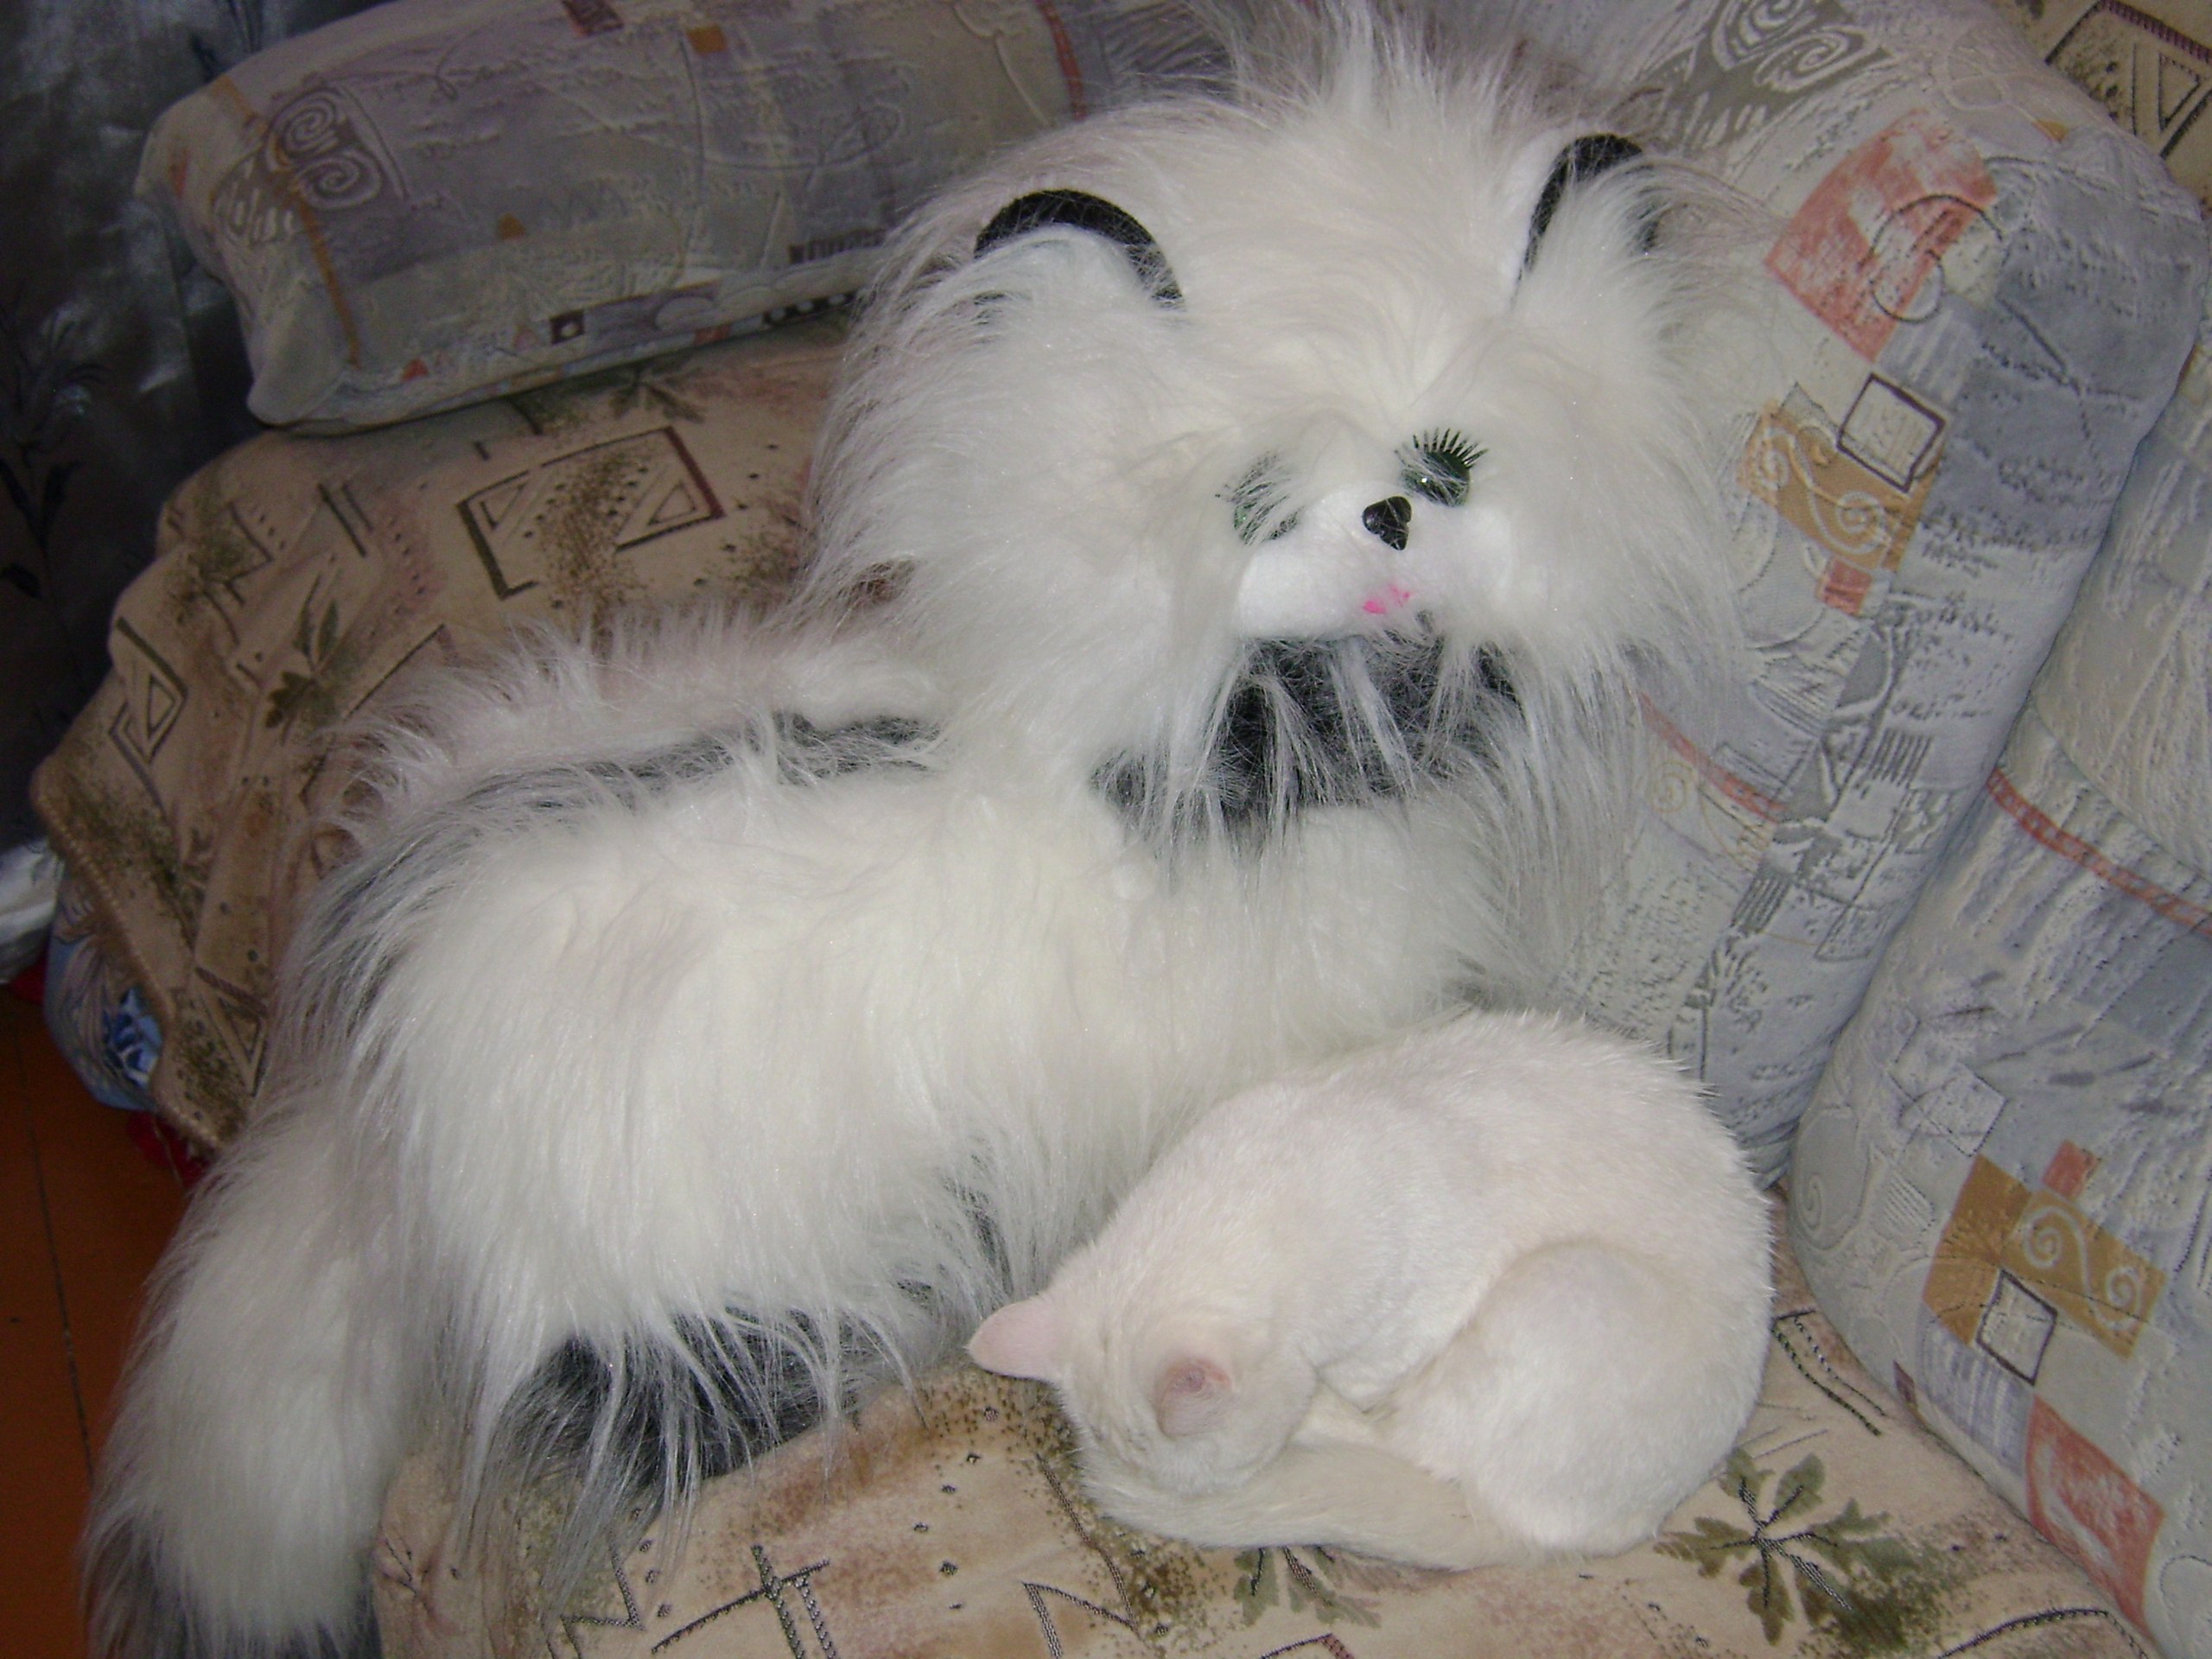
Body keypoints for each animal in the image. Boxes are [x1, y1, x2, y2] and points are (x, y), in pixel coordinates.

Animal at [970, 1009, 1774, 1569]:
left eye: (1211, 1480)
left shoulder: (1410, 1318)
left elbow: (1368, 1389)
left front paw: (1324, 1403)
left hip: (1566, 1285)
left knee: (1419, 1444)